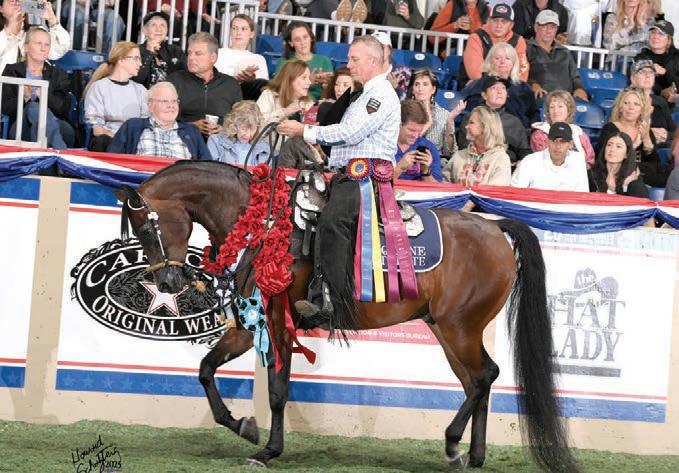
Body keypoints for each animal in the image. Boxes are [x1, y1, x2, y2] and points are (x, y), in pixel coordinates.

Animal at [115, 160, 578, 473]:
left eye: (147, 229)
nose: (168, 282)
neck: (265, 226)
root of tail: (495, 227)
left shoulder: (278, 322)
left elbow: (278, 390)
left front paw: (269, 449)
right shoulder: (251, 326)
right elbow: (207, 369)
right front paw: (243, 426)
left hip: (459, 327)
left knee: (484, 376)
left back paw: (451, 445)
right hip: (449, 331)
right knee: (476, 381)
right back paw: (472, 454)